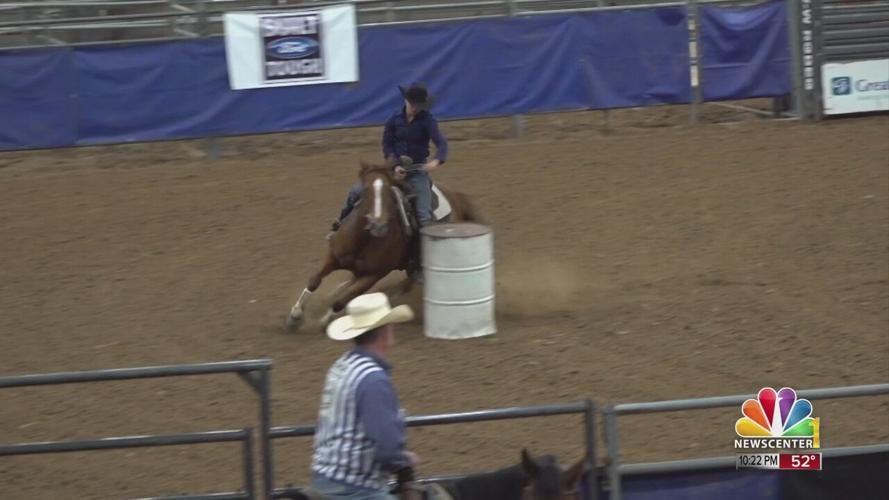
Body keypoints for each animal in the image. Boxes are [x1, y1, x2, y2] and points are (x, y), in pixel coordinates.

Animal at [284, 160, 478, 330]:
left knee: (410, 281)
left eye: (390, 192)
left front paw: (325, 321)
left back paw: (392, 294)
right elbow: (314, 280)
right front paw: (295, 316)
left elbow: (342, 301)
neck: (363, 240)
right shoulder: (333, 256)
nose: (378, 225)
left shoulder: (373, 275)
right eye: (365, 190)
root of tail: (456, 198)